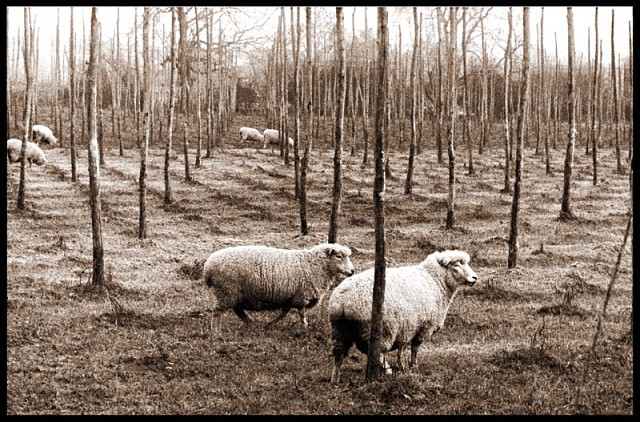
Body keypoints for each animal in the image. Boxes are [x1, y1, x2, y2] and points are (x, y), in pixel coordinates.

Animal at [203, 243, 356, 328]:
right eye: (339, 256)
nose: (352, 271)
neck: (315, 264)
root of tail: (207, 267)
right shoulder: (301, 296)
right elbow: (301, 313)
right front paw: (305, 326)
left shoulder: (289, 297)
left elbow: (284, 312)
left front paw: (270, 324)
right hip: (226, 291)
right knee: (217, 313)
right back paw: (216, 333)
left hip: (235, 293)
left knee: (238, 310)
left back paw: (251, 324)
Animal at [328, 249, 478, 384]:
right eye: (456, 265)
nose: (475, 278)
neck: (434, 279)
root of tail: (343, 300)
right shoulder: (423, 326)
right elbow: (414, 348)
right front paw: (413, 366)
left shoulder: (407, 326)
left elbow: (402, 348)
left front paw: (402, 366)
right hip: (380, 328)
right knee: (375, 350)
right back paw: (386, 370)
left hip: (340, 329)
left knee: (339, 353)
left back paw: (335, 379)